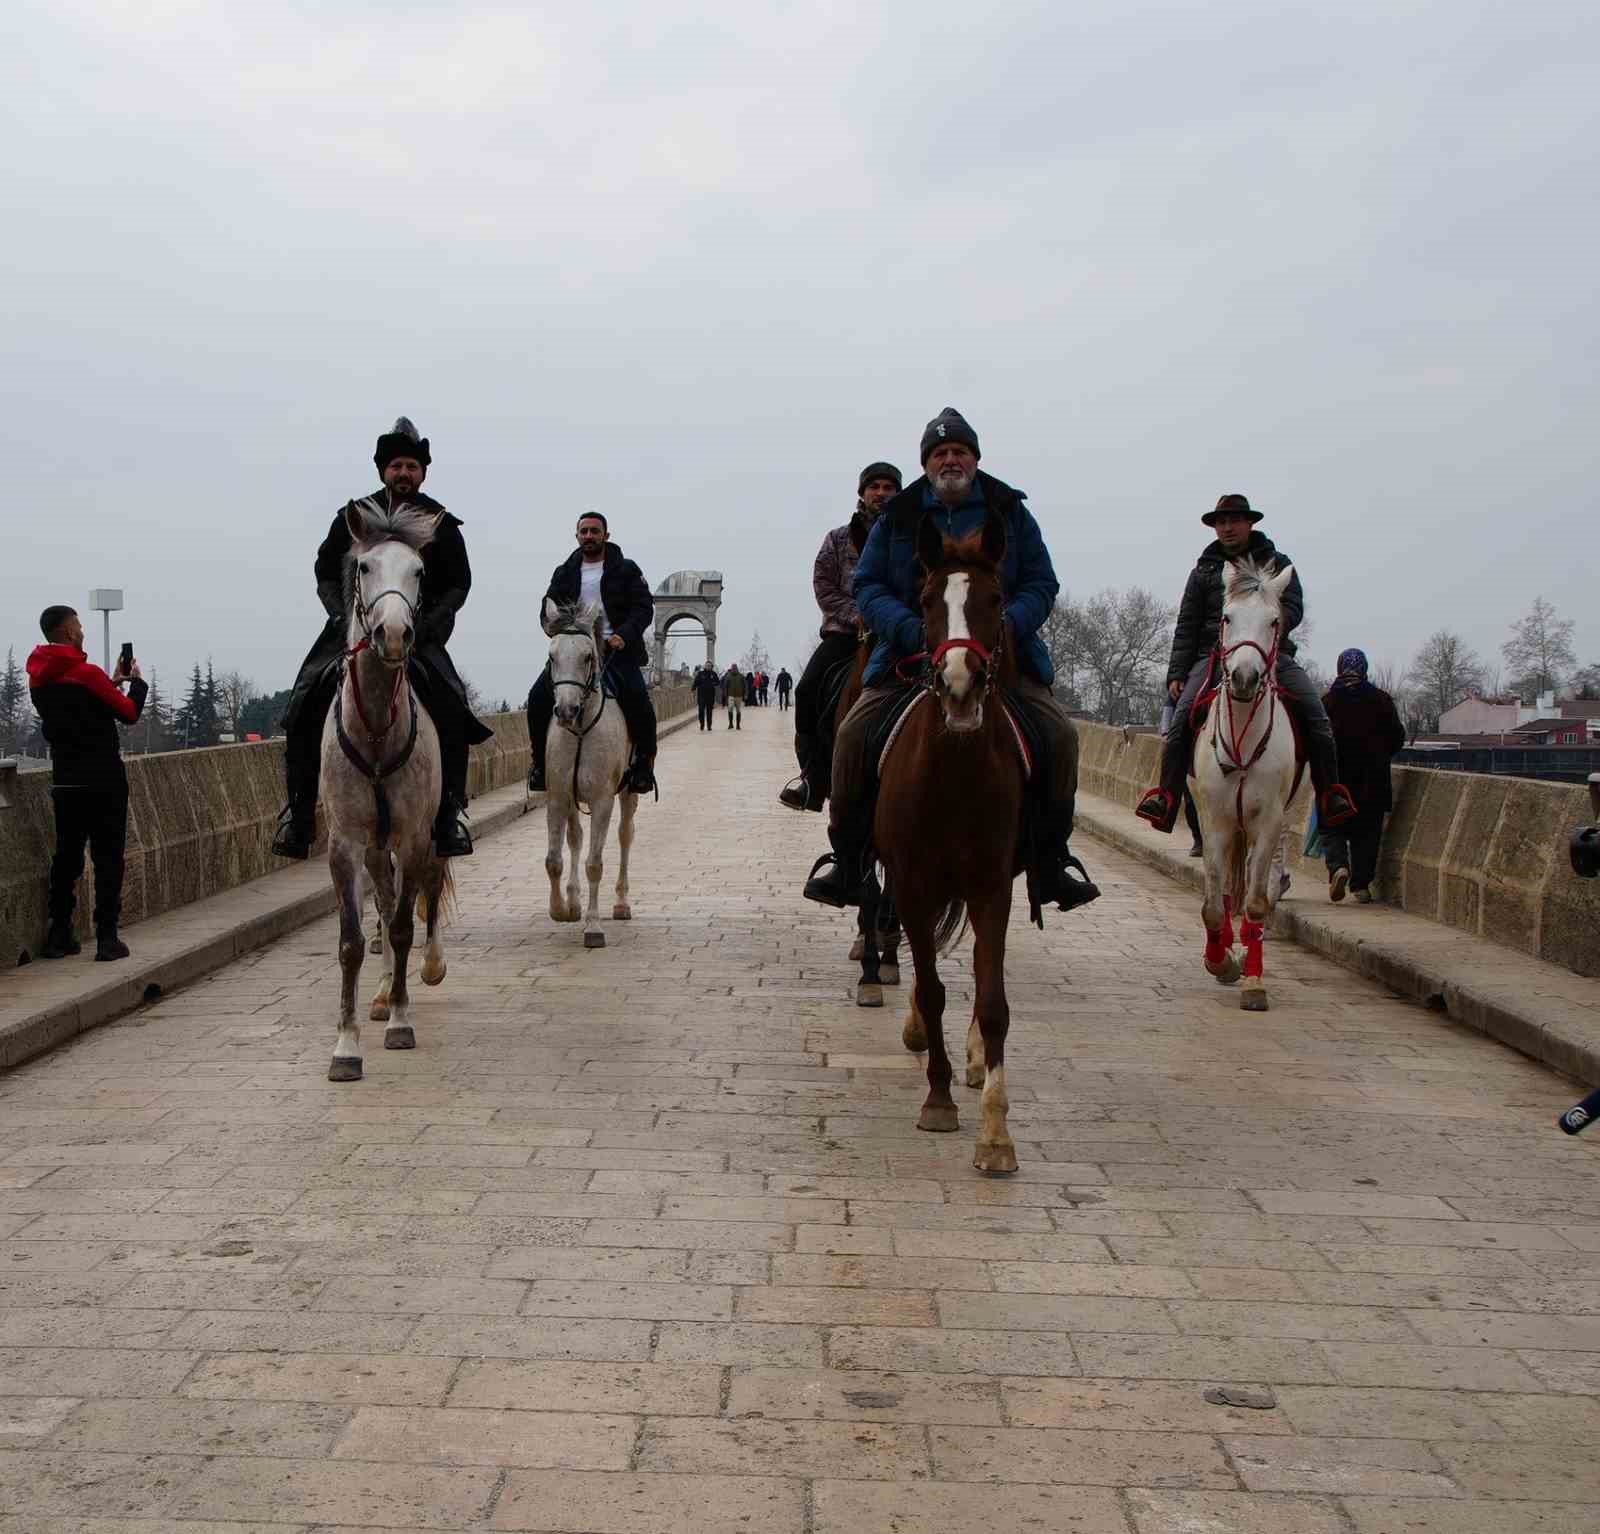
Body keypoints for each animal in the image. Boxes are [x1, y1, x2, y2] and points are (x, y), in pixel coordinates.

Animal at [540, 601, 633, 946]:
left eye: (587, 657)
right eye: (552, 656)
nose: (566, 711)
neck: (580, 729)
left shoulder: (603, 799)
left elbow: (595, 863)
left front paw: (593, 926)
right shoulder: (557, 796)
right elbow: (554, 859)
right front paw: (562, 909)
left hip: (628, 793)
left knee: (625, 835)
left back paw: (621, 903)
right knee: (575, 838)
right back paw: (573, 899)